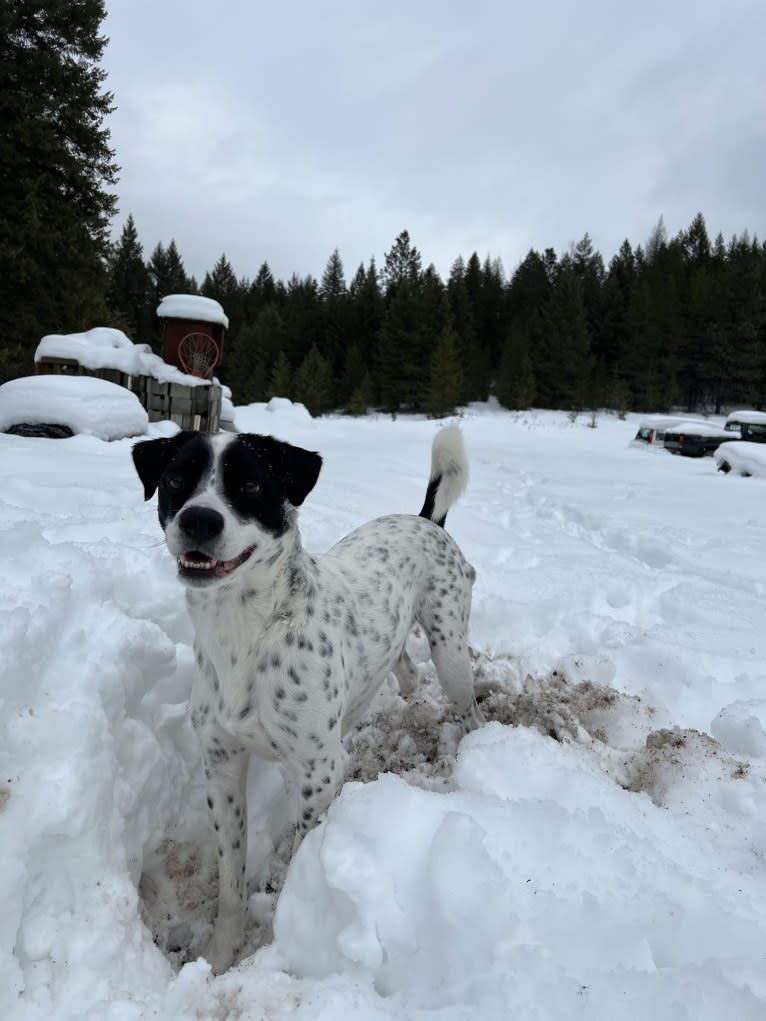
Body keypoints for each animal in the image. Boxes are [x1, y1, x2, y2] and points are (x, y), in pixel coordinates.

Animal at [129, 424, 482, 971]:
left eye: (251, 485)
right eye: (175, 479)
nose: (198, 519)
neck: (243, 633)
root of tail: (426, 520)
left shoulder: (321, 769)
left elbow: (298, 861)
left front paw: (284, 936)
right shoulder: (221, 765)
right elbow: (230, 882)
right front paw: (220, 956)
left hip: (450, 651)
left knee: (466, 706)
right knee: (402, 666)